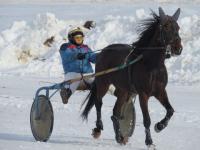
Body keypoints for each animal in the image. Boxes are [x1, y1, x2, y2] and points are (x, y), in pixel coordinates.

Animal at [80, 7, 182, 149]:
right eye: (166, 27)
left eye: (177, 27)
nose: (178, 48)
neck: (153, 65)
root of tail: (104, 50)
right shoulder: (143, 94)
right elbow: (146, 119)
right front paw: (149, 142)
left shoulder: (160, 91)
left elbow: (170, 110)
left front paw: (160, 126)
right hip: (103, 83)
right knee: (98, 102)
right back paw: (98, 128)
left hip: (123, 91)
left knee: (115, 113)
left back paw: (119, 137)